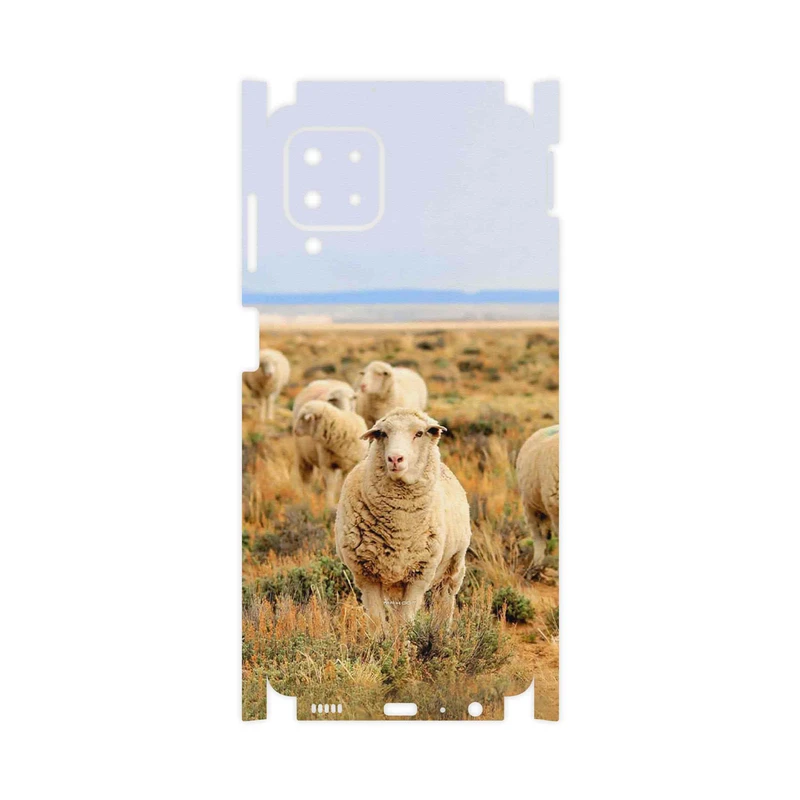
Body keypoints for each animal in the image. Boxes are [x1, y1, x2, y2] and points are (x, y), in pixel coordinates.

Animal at [335, 408, 471, 632]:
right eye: (383, 434)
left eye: (419, 433)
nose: (395, 458)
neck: (400, 527)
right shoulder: (366, 575)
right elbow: (377, 621)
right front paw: (381, 640)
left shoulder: (419, 575)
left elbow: (405, 621)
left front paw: (404, 641)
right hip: (394, 582)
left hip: (453, 566)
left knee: (444, 600)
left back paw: (441, 632)